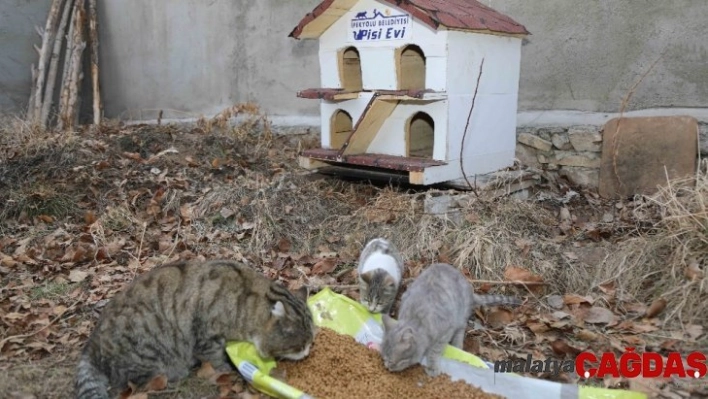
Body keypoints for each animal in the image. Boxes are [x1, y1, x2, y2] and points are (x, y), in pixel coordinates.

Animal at [74, 260, 316, 398]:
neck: (244, 299)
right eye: (299, 346)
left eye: (310, 342)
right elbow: (216, 358)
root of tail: (91, 344)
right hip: (146, 349)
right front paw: (226, 370)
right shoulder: (207, 335)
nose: (307, 353)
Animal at [382, 264, 520, 376]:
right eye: (383, 358)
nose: (387, 366)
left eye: (391, 361)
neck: (416, 320)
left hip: (460, 316)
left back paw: (457, 346)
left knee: (460, 331)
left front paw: (432, 367)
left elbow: (434, 352)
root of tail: (470, 291)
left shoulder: (445, 331)